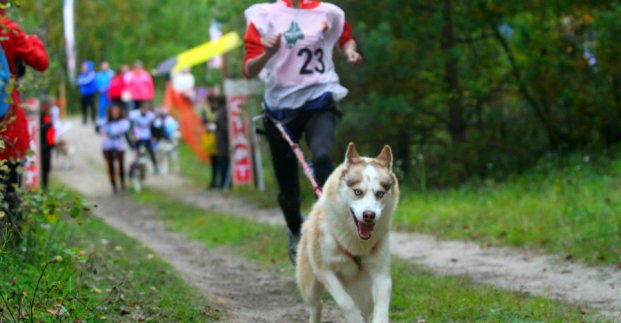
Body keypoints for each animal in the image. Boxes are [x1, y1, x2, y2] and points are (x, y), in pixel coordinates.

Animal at [294, 143, 398, 322]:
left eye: (380, 194)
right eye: (358, 192)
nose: (369, 215)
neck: (356, 244)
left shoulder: (381, 273)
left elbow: (381, 307)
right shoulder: (325, 270)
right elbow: (345, 302)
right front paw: (354, 318)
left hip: (365, 291)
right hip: (310, 284)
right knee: (316, 305)